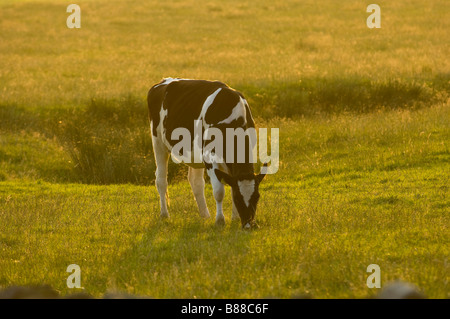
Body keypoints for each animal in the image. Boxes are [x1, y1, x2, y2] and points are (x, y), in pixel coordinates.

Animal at [148, 79, 268, 231]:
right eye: (238, 198)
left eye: (257, 196)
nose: (248, 225)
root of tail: (164, 81)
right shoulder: (210, 157)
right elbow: (219, 191)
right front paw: (220, 221)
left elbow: (230, 185)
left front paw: (234, 218)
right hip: (158, 143)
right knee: (161, 179)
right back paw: (164, 215)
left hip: (194, 154)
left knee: (196, 182)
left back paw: (205, 215)